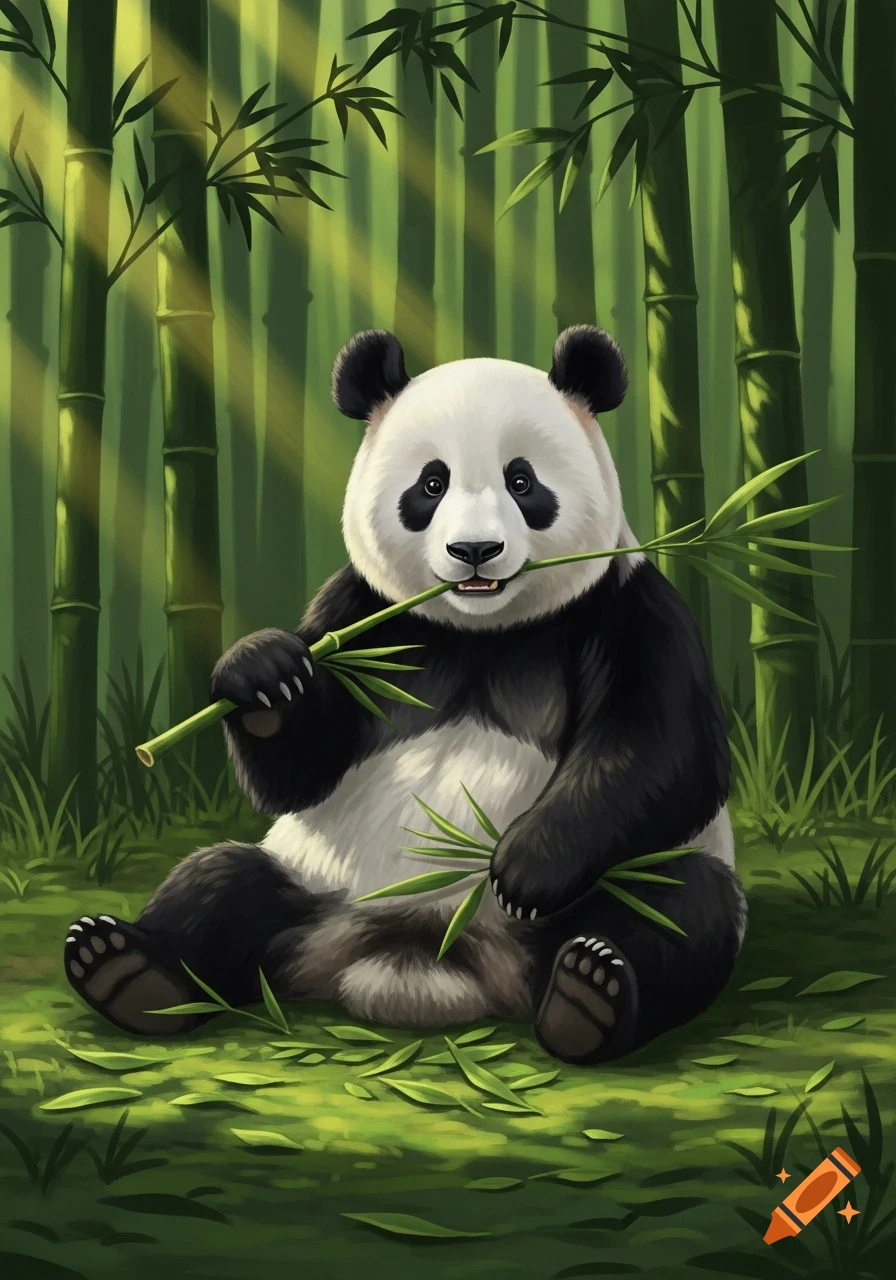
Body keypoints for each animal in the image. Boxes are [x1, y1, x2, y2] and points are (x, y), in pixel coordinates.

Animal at [63, 325, 746, 1066]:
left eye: (522, 480)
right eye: (431, 483)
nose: (475, 549)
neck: (484, 632)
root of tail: (423, 958)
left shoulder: (624, 606)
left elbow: (661, 749)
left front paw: (526, 868)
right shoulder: (360, 616)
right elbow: (302, 772)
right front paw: (263, 673)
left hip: (604, 894)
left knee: (680, 906)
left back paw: (590, 994)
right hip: (315, 888)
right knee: (220, 883)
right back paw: (127, 970)